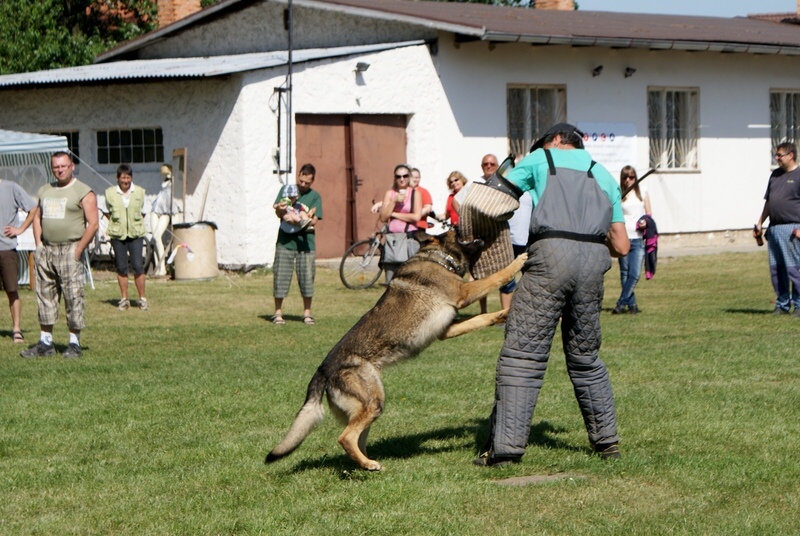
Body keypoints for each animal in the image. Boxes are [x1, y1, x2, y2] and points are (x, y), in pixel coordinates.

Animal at [266, 228, 528, 472]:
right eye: (453, 228)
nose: (467, 224)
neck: (438, 259)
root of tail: (323, 371)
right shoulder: (464, 293)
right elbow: (495, 277)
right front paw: (519, 260)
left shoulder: (447, 329)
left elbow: (481, 318)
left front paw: (502, 314)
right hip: (373, 402)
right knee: (345, 438)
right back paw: (368, 464)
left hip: (370, 407)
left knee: (356, 439)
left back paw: (366, 464)